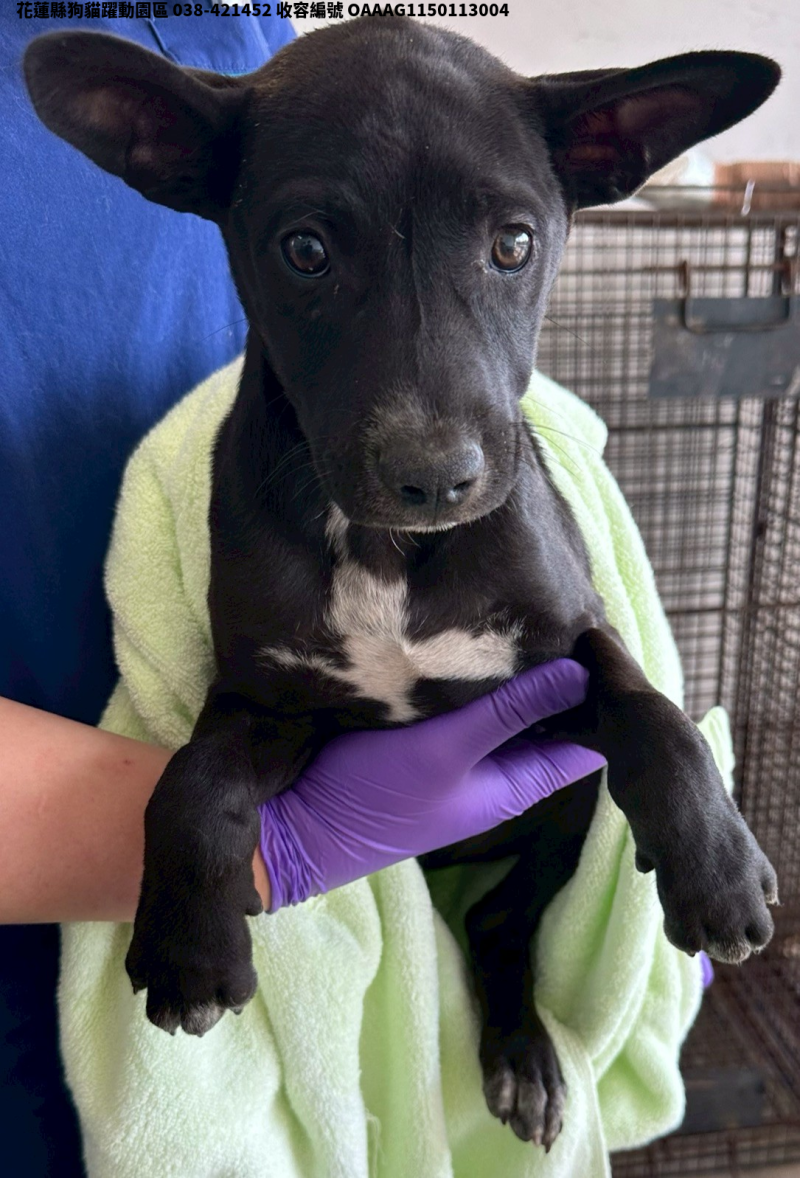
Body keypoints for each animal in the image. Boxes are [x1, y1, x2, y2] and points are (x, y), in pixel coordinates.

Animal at [25, 18, 781, 1150]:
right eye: (304, 249)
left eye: (513, 244)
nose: (434, 477)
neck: (389, 550)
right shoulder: (266, 698)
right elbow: (189, 782)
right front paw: (188, 948)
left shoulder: (566, 649)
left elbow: (655, 711)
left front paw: (717, 865)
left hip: (566, 808)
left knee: (504, 918)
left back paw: (523, 1055)